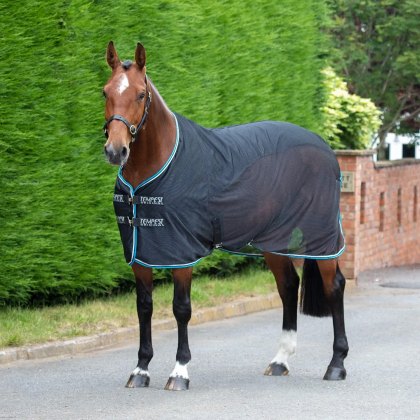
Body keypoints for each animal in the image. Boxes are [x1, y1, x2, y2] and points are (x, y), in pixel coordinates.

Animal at [101, 41, 348, 390]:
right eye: (105, 92)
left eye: (139, 94)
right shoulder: (140, 253)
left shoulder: (182, 254)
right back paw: (280, 361)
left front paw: (179, 372)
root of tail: (323, 146)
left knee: (334, 286)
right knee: (288, 286)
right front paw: (141, 370)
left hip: (321, 236)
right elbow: (144, 308)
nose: (115, 150)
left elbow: (181, 308)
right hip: (274, 241)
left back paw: (337, 364)